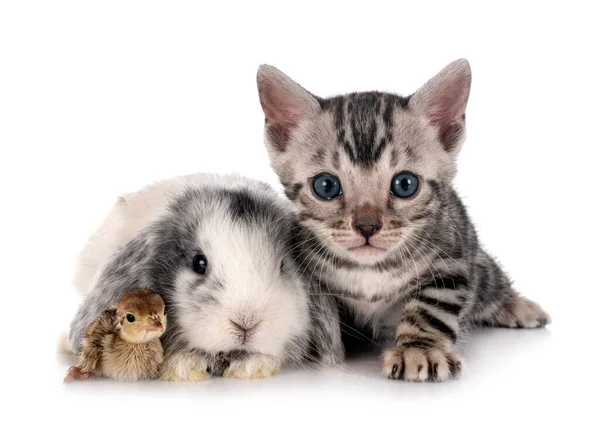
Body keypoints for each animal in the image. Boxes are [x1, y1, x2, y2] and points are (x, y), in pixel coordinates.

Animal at [255, 60, 552, 382]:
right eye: (326, 186)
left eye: (405, 184)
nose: (367, 226)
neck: (370, 271)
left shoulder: (451, 263)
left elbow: (431, 309)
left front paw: (419, 349)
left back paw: (517, 306)